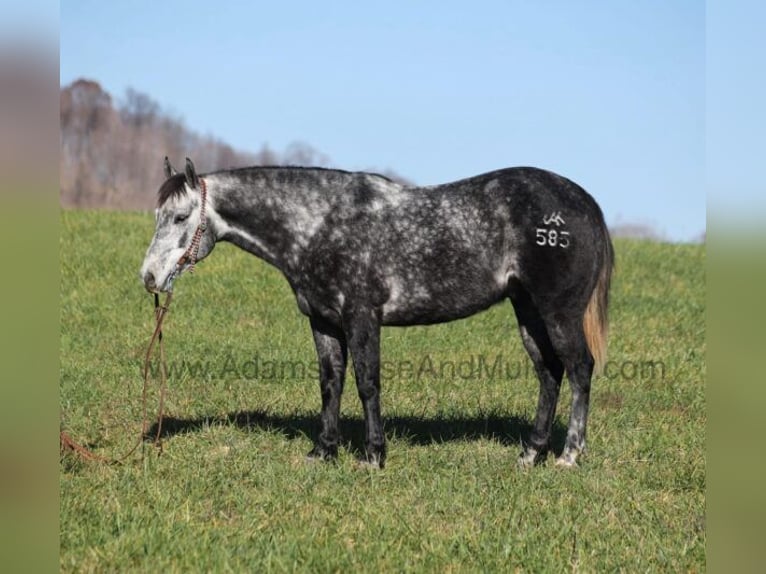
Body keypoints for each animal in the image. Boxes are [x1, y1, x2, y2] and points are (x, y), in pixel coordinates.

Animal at [140, 157, 613, 469]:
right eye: (157, 215)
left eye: (180, 217)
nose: (149, 276)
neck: (320, 224)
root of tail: (583, 201)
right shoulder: (324, 321)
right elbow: (330, 384)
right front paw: (323, 452)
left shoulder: (361, 316)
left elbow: (367, 384)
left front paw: (373, 455)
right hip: (528, 312)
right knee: (549, 373)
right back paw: (530, 453)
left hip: (558, 313)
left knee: (579, 369)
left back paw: (569, 455)